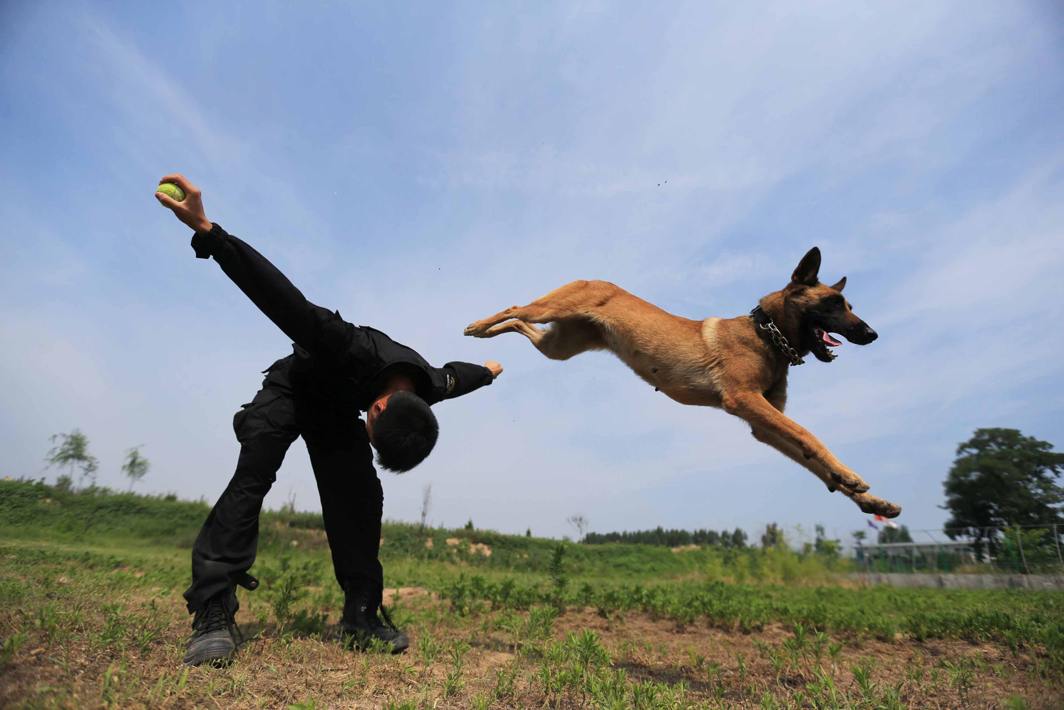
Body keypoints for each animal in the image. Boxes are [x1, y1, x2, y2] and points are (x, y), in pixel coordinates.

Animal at [463, 246, 898, 519]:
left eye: (850, 305)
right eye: (832, 304)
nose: (872, 334)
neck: (767, 335)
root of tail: (594, 278)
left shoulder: (763, 424)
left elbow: (811, 458)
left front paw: (870, 499)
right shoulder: (744, 399)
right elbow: (809, 434)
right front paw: (851, 476)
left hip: (559, 346)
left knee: (521, 325)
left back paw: (491, 351)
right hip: (551, 309)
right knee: (516, 308)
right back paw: (479, 326)